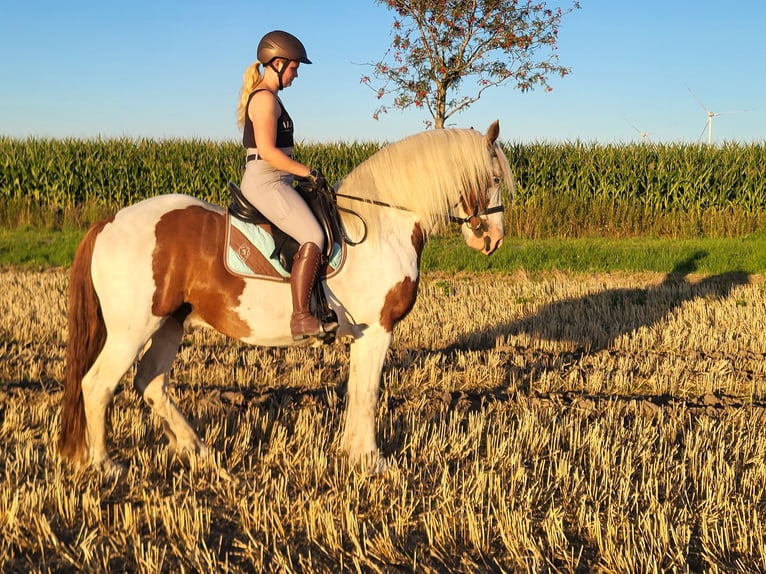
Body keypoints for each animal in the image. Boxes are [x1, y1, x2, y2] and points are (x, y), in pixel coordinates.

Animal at [58, 120, 516, 476]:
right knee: (97, 385)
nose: (493, 239)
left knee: (151, 382)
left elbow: (356, 390)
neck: (384, 223)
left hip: (169, 324)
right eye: (494, 179)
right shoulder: (379, 330)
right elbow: (368, 393)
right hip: (131, 330)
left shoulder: (364, 335)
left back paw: (197, 449)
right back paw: (106, 465)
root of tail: (110, 222)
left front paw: (351, 453)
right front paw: (372, 460)